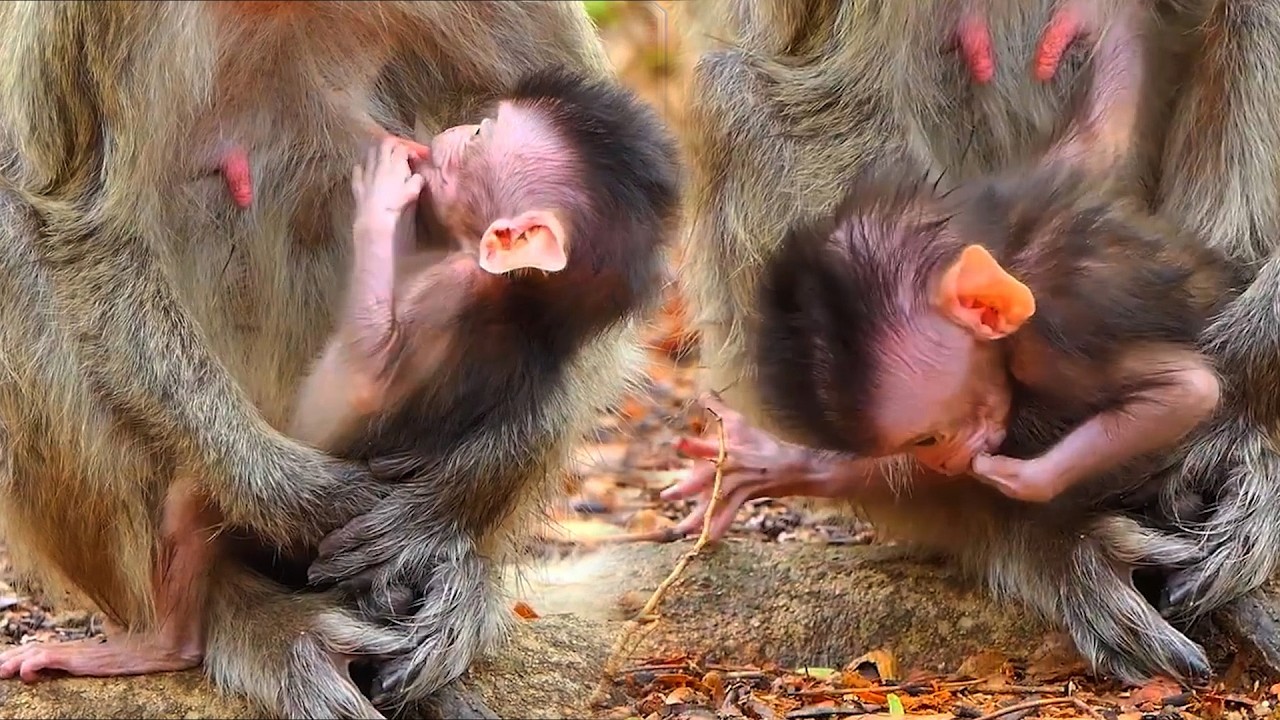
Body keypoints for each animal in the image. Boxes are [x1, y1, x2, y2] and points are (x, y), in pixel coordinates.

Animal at [0, 2, 662, 718]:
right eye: (479, 135)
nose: (460, 141)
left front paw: (441, 506)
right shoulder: (82, 21)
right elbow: (87, 219)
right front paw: (305, 498)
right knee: (19, 227)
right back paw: (224, 618)